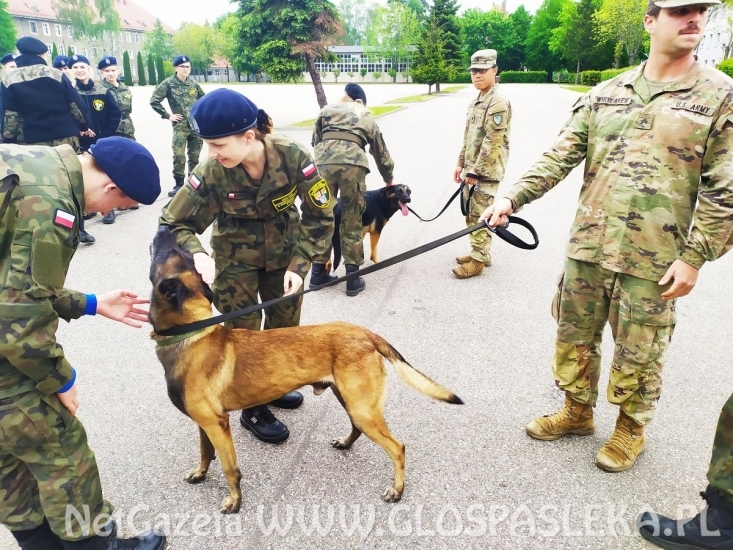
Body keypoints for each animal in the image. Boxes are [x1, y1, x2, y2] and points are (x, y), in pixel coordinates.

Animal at [149, 226, 464, 516]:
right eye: (177, 255)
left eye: (168, 254)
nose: (165, 228)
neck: (190, 334)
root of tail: (367, 334)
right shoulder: (204, 424)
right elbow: (206, 453)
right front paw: (200, 474)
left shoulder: (216, 424)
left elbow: (229, 468)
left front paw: (234, 501)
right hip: (351, 401)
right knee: (357, 428)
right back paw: (346, 443)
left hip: (362, 408)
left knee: (398, 448)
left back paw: (397, 490)